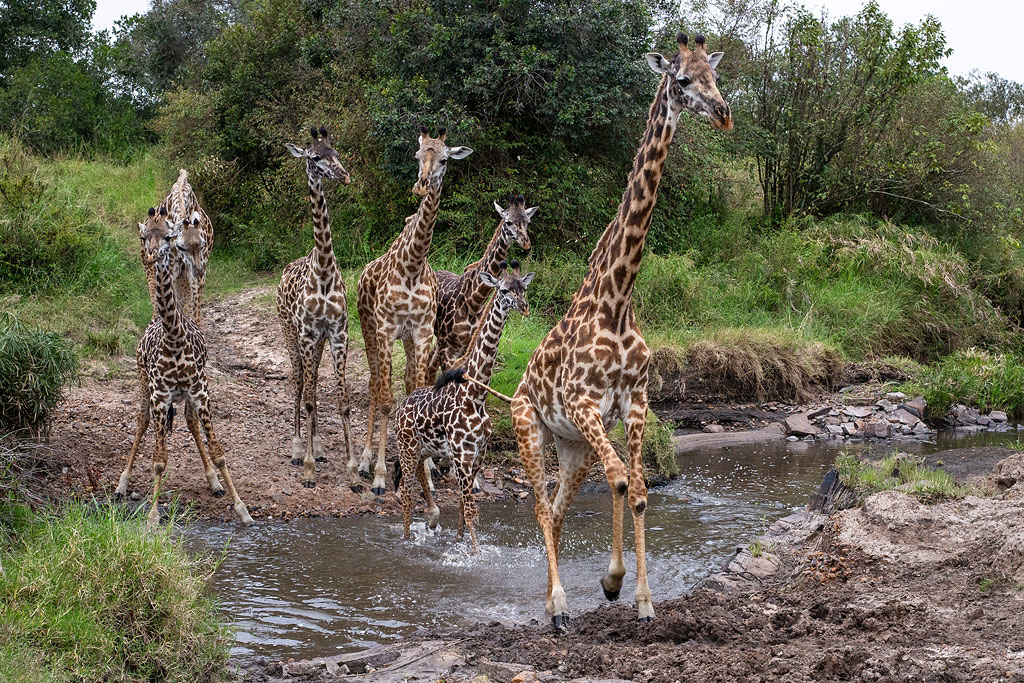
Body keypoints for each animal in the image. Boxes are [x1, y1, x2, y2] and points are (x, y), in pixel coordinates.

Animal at [117, 206, 253, 529]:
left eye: (169, 236)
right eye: (144, 236)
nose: (153, 255)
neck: (174, 338)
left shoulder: (201, 391)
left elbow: (218, 453)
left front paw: (242, 509)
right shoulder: (160, 396)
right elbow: (159, 461)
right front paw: (152, 517)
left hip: (189, 396)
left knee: (191, 423)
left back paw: (214, 482)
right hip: (143, 384)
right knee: (141, 422)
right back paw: (121, 484)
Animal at [356, 126, 473, 496]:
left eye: (446, 159)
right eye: (418, 155)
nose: (422, 185)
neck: (412, 265)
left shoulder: (421, 334)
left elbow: (416, 392)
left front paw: (429, 473)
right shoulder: (385, 328)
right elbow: (386, 400)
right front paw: (380, 475)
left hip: (405, 340)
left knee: (403, 383)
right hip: (368, 329)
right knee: (375, 386)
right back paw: (364, 460)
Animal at [394, 262, 534, 551]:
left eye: (523, 289)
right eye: (504, 290)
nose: (524, 307)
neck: (476, 395)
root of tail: (400, 408)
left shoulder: (478, 455)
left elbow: (462, 507)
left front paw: (459, 543)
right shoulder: (461, 455)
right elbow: (470, 511)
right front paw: (476, 554)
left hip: (422, 450)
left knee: (420, 480)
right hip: (407, 448)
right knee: (406, 496)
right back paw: (406, 541)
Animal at [510, 32, 732, 628]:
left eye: (716, 76)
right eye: (683, 80)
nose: (724, 114)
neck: (618, 298)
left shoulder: (635, 400)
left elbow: (635, 489)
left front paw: (638, 598)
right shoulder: (584, 401)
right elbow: (623, 481)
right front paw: (612, 582)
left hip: (573, 447)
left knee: (560, 509)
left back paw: (553, 598)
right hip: (529, 428)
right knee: (540, 505)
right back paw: (559, 604)